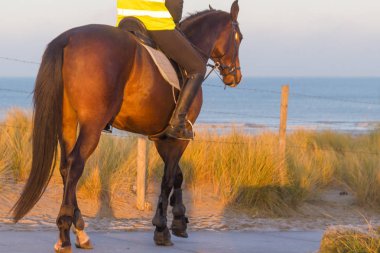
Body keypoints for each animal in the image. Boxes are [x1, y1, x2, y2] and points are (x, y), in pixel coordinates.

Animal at [11, 1, 243, 251]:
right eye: (238, 37)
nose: (235, 76)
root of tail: (68, 39)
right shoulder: (178, 137)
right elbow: (168, 179)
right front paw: (162, 228)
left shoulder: (160, 137)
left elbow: (177, 176)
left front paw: (180, 220)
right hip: (92, 125)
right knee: (74, 165)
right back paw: (65, 234)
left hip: (67, 122)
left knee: (65, 167)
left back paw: (80, 230)